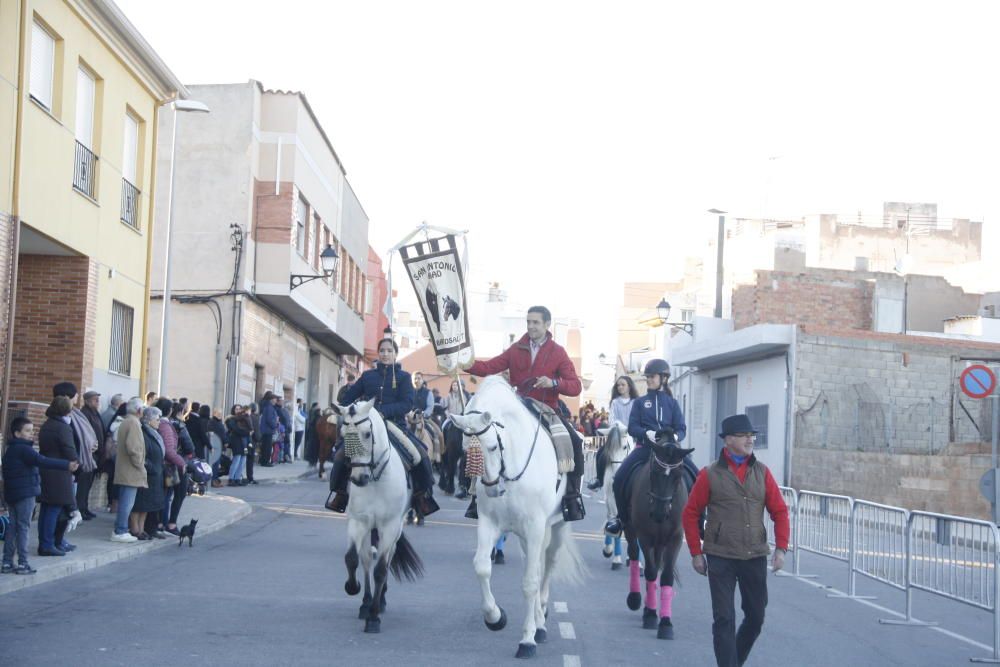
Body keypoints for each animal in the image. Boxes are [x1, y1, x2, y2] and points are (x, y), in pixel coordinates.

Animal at [334, 400, 424, 636]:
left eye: (367, 433)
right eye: (343, 434)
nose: (358, 478)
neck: (375, 479)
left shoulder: (390, 527)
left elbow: (381, 570)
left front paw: (374, 618)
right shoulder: (358, 522)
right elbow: (352, 558)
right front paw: (353, 588)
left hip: (395, 530)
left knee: (387, 558)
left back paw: (379, 601)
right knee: (366, 559)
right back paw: (365, 603)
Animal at [448, 378, 584, 660]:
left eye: (491, 446)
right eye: (466, 451)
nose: (491, 489)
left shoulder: (534, 527)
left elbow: (530, 582)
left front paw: (527, 640)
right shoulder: (490, 524)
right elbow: (482, 567)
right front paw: (495, 617)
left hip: (555, 527)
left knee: (547, 566)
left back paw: (541, 620)